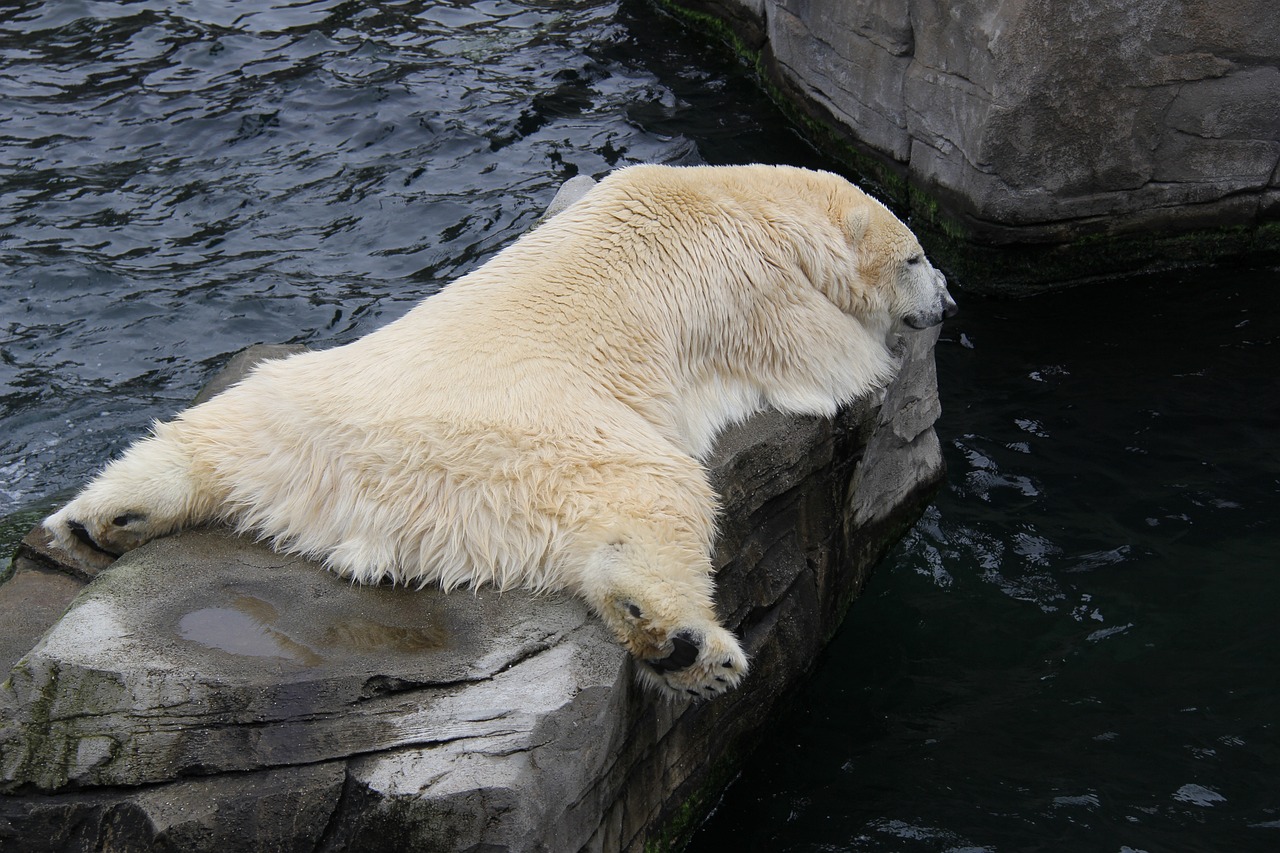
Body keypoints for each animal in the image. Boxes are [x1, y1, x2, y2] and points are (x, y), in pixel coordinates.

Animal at [45, 163, 957, 696]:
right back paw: (689, 645)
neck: (738, 192)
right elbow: (825, 355)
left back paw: (102, 516)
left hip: (295, 401)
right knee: (658, 498)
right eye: (916, 257)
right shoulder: (753, 282)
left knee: (204, 431)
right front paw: (882, 351)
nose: (948, 300)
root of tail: (358, 495)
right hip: (550, 439)